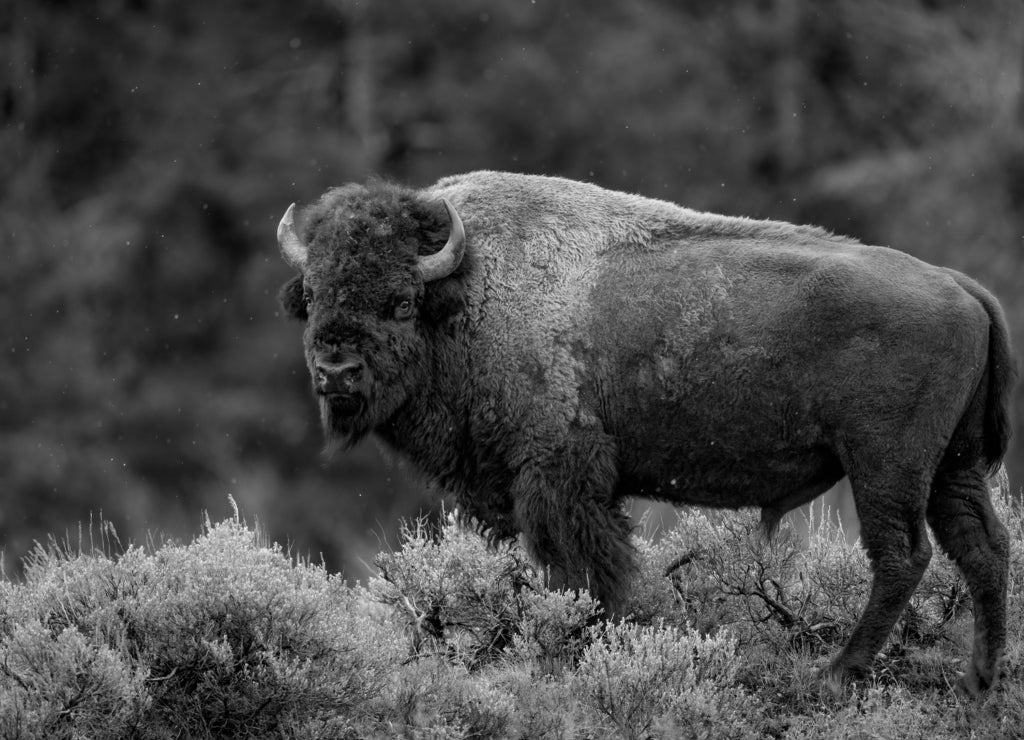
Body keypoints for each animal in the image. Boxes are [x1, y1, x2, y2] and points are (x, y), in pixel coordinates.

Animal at [276, 170, 1011, 691]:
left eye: (400, 302)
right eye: (311, 296)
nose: (335, 371)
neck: (471, 290)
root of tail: (962, 285)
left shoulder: (559, 481)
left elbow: (584, 573)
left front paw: (579, 648)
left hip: (885, 466)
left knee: (903, 556)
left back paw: (837, 674)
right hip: (954, 468)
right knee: (984, 548)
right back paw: (982, 678)